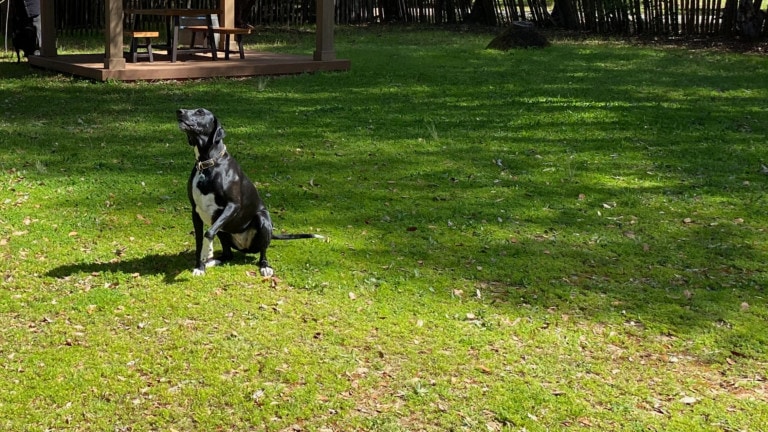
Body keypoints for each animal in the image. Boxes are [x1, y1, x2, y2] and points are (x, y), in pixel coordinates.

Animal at [178, 108, 324, 276]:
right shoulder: (195, 212)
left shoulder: (233, 206)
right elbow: (200, 240)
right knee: (228, 254)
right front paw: (200, 266)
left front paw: (207, 252)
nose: (179, 111)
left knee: (263, 251)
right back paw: (212, 262)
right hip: (223, 228)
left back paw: (265, 266)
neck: (208, 164)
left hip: (262, 219)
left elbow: (208, 233)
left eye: (200, 112)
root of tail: (245, 247)